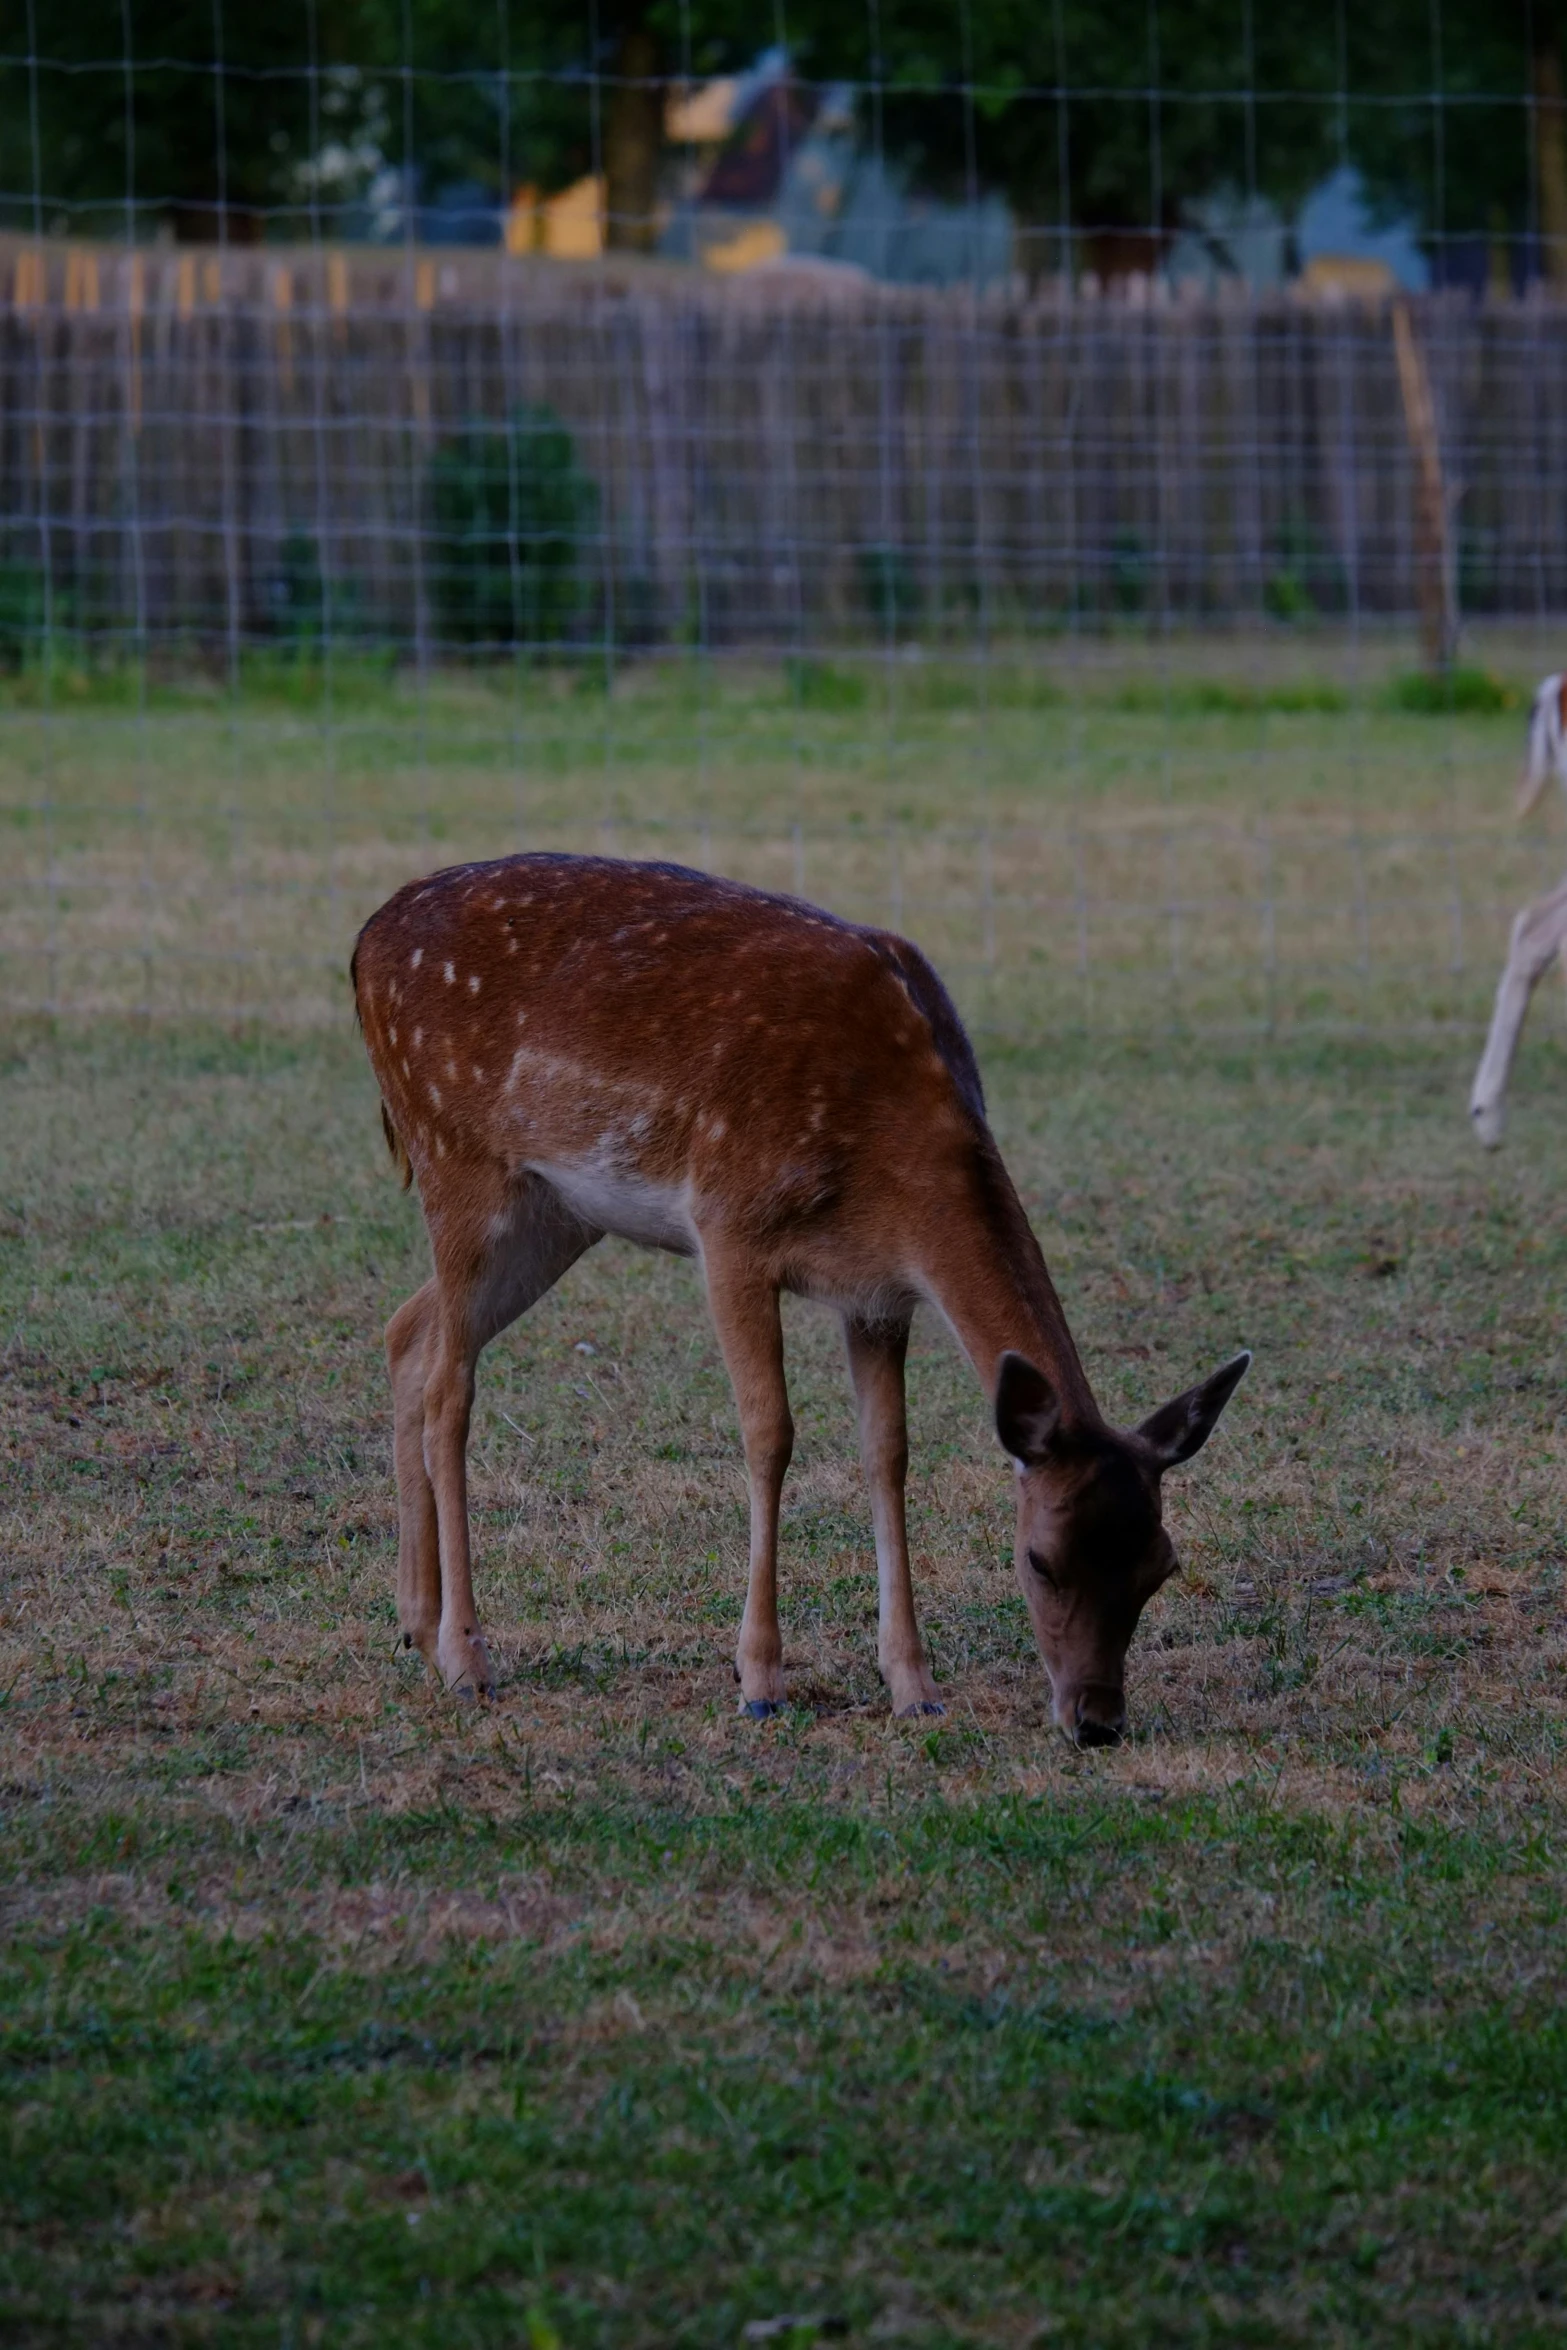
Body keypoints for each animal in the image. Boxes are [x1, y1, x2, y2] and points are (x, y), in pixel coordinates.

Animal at [354, 860, 1249, 1748]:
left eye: (1161, 1565)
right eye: (1040, 1559)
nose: (1096, 1721)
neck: (888, 1165)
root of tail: (365, 942)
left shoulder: (878, 1295)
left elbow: (887, 1454)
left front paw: (913, 1687)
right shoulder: (728, 1228)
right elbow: (770, 1434)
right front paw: (758, 1681)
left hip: (554, 1215)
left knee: (408, 1331)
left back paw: (415, 1623)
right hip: (456, 1157)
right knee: (449, 1385)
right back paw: (467, 1660)